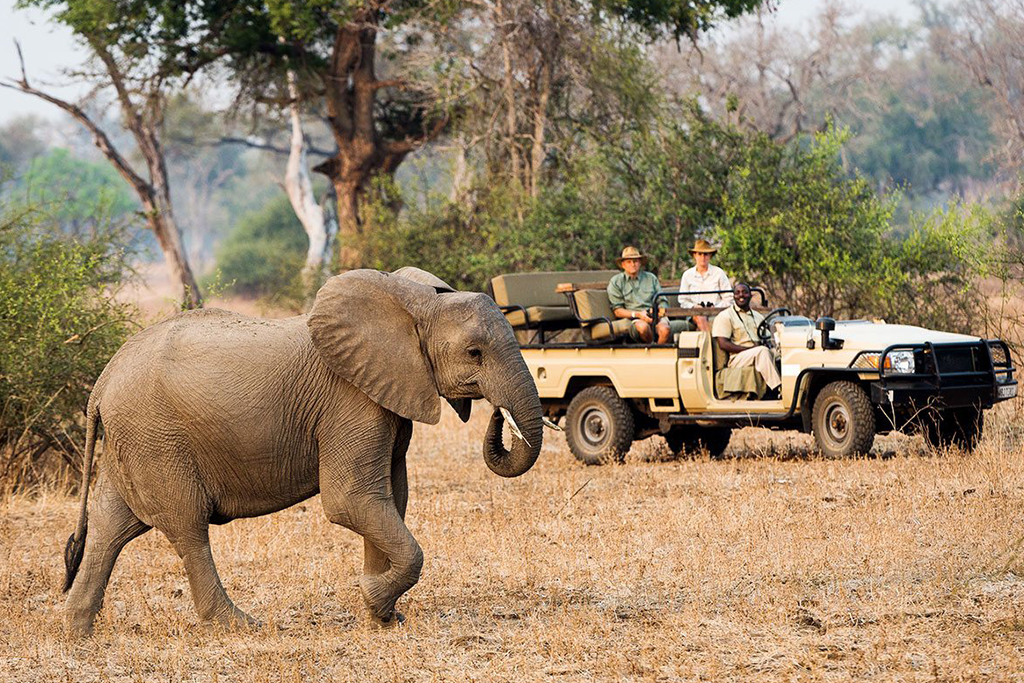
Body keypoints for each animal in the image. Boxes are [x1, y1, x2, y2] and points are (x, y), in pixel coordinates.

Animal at [61, 267, 544, 636]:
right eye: (474, 353)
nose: (498, 415)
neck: (413, 302)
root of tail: (102, 382)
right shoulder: (350, 401)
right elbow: (352, 500)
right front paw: (373, 600)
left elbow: (391, 497)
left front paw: (382, 619)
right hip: (156, 437)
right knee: (187, 526)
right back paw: (240, 626)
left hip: (136, 437)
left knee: (110, 525)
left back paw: (77, 631)